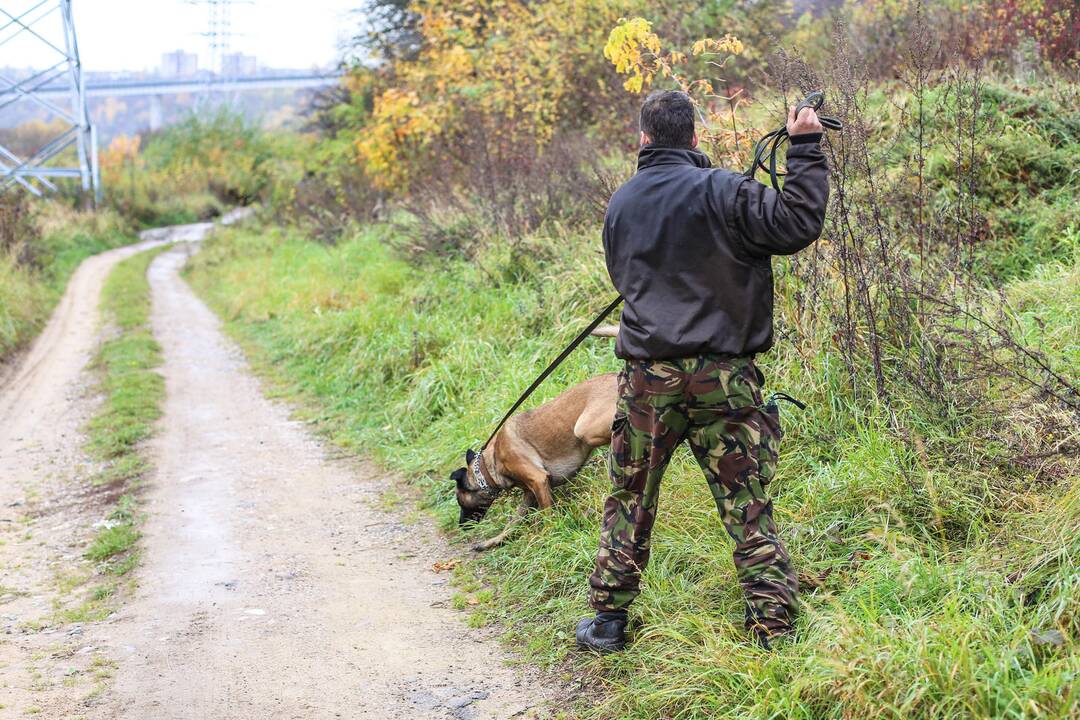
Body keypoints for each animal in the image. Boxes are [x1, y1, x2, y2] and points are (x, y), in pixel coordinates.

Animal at [447, 371, 617, 552]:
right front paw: (492, 541)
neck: (489, 463)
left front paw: (550, 535)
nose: (461, 525)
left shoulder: (538, 480)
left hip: (584, 429)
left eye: (460, 501)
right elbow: (512, 523)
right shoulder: (529, 493)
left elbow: (546, 514)